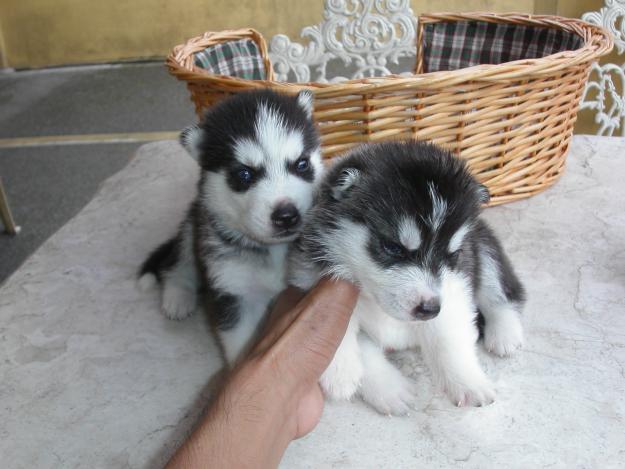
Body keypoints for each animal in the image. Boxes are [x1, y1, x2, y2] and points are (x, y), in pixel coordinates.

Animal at [140, 89, 324, 364]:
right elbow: (241, 347)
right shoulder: (233, 289)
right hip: (193, 225)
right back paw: (178, 296)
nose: (286, 216)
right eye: (244, 174)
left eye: (302, 164)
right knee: (177, 261)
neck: (274, 251)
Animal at [290, 140, 524, 414]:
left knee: (503, 293)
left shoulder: (455, 286)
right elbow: (354, 339)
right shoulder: (307, 279)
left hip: (483, 247)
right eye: (393, 247)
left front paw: (467, 381)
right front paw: (352, 375)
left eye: (452, 254)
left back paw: (505, 334)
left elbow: (448, 337)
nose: (430, 309)